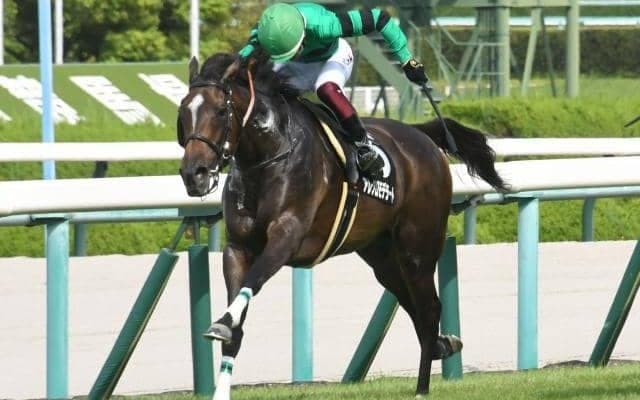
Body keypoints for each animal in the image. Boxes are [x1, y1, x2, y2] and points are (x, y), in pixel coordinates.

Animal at [177, 51, 508, 399]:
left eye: (221, 110)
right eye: (183, 112)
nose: (194, 173)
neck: (270, 153)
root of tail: (422, 137)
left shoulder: (287, 235)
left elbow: (253, 281)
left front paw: (222, 321)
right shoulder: (237, 247)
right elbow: (237, 326)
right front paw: (224, 345)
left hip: (418, 245)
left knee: (429, 308)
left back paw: (422, 387)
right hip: (381, 255)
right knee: (411, 302)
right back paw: (444, 345)